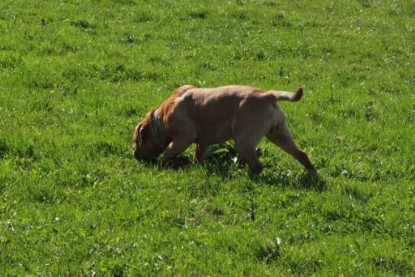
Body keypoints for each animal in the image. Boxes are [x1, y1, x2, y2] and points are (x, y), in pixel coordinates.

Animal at [133, 84, 316, 175]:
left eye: (136, 141)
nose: (134, 155)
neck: (160, 119)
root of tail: (268, 95)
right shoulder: (202, 142)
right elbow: (198, 155)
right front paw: (196, 165)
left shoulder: (184, 136)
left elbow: (168, 153)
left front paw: (168, 163)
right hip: (280, 136)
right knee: (301, 154)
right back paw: (312, 174)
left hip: (243, 142)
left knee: (257, 165)